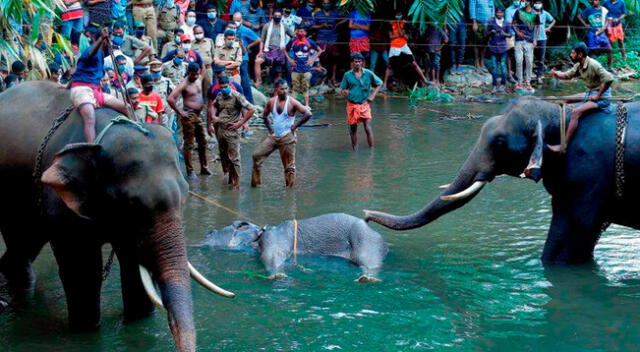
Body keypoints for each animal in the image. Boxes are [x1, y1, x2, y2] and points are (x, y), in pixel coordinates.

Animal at [0, 81, 234, 350]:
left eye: (185, 195)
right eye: (132, 203)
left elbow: (133, 264)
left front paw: (137, 320)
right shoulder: (61, 205)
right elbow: (82, 270)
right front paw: (86, 329)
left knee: (26, 244)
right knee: (20, 241)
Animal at [202, 213, 388, 282]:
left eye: (211, 232)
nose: (208, 232)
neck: (258, 235)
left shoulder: (275, 240)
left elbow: (271, 257)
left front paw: (278, 275)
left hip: (365, 242)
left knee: (369, 263)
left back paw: (367, 278)